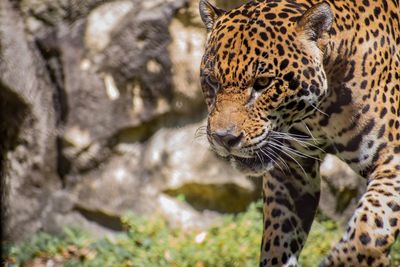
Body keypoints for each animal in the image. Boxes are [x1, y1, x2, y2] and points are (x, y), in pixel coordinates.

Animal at [198, 0, 398, 266]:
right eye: (212, 81)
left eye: (263, 83)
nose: (224, 138)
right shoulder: (291, 172)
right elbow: (278, 240)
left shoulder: (392, 162)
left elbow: (368, 235)